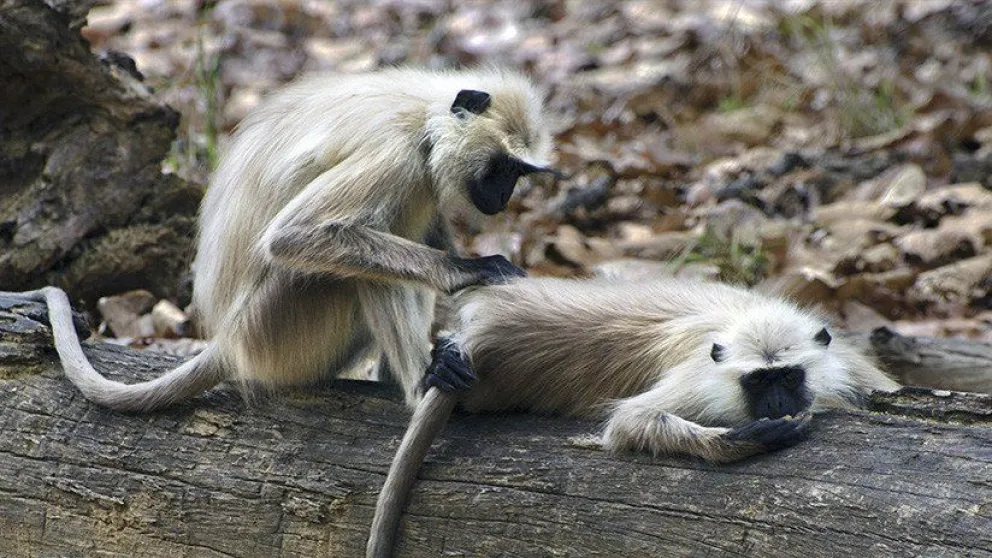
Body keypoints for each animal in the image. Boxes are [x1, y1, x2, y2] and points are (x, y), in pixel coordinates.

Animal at [0, 67, 559, 412]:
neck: (427, 115)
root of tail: (229, 342)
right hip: (276, 322)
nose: (503, 196)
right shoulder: (398, 151)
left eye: (517, 174)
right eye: (502, 169)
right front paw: (471, 271)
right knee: (358, 264)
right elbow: (294, 236)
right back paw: (422, 386)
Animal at [367, 276, 900, 558]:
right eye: (758, 383)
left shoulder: (848, 365)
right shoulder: (701, 374)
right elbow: (628, 422)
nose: (777, 404)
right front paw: (747, 437)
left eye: (787, 377)